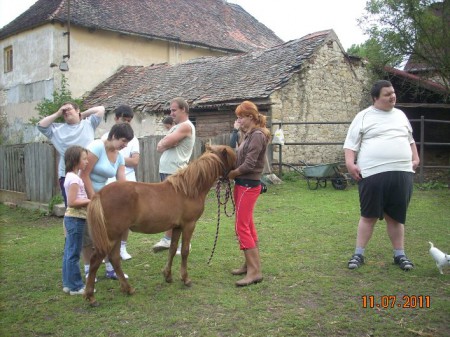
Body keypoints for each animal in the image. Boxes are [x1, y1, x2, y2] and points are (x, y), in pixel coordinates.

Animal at [84, 144, 236, 304]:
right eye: (232, 158)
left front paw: (168, 276)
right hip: (111, 236)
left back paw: (128, 289)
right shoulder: (189, 225)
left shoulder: (177, 227)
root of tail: (99, 194)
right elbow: (184, 251)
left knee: (114, 259)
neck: (188, 189)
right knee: (95, 261)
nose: (235, 175)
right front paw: (185, 279)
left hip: (117, 235)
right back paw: (91, 296)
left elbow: (172, 249)